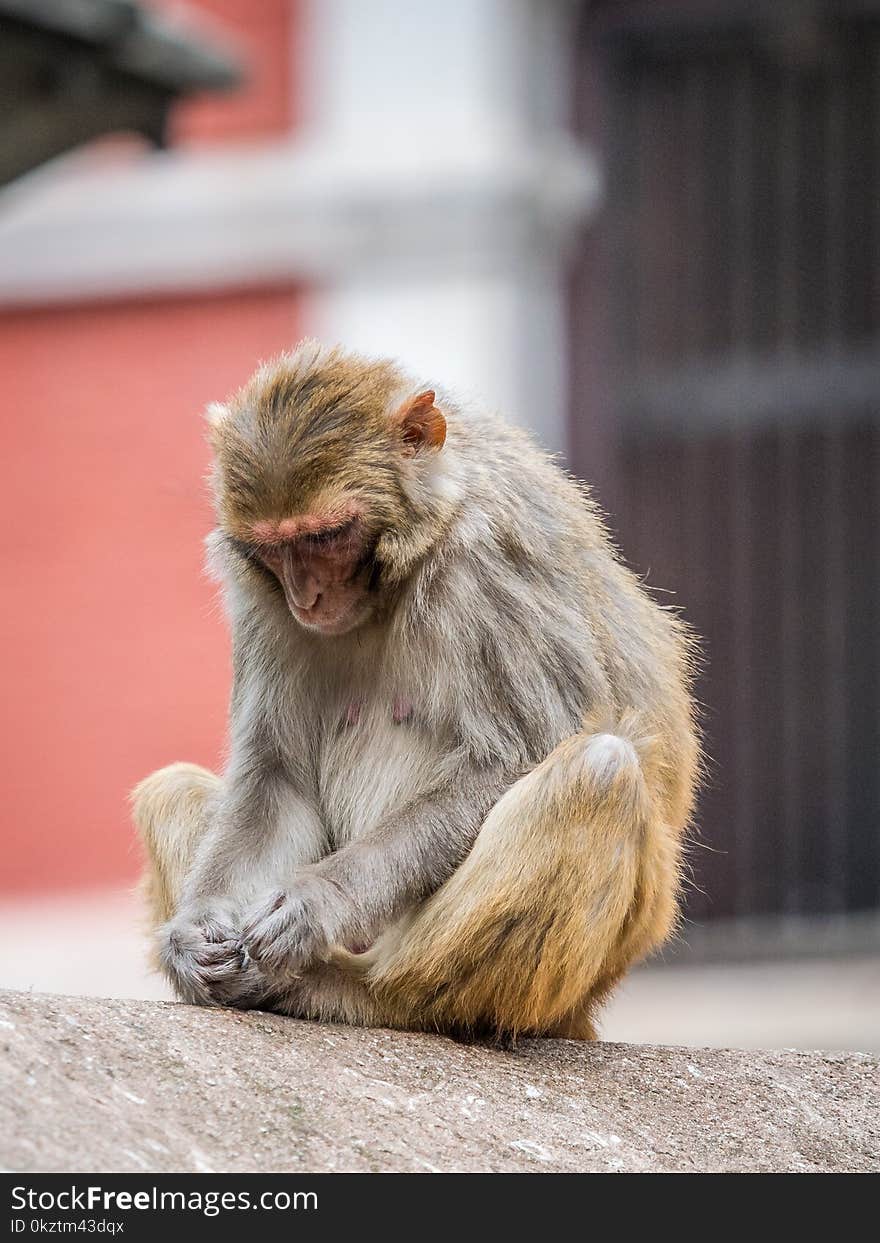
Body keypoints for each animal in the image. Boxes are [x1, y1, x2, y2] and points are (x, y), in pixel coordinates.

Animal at [130, 340, 696, 1039]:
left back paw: (366, 994)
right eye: (275, 547)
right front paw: (190, 934)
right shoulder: (258, 601)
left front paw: (319, 901)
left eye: (325, 535)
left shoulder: (488, 564)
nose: (305, 597)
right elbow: (276, 776)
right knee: (171, 788)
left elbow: (513, 758)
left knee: (601, 771)